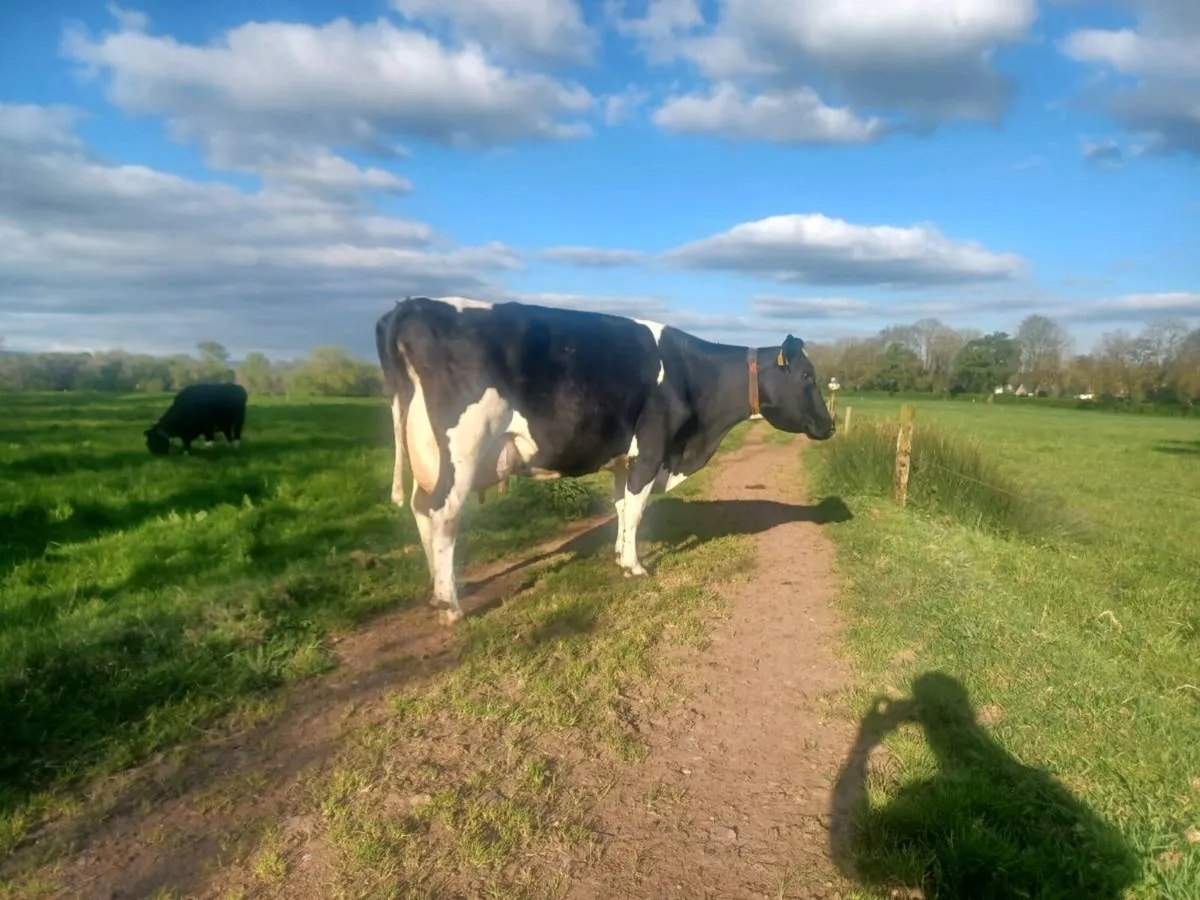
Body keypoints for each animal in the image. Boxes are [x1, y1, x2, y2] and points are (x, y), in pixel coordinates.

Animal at [375, 296, 835, 624]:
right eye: (807, 376)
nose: (830, 426)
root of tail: (412, 305)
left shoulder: (624, 459)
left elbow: (620, 507)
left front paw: (619, 555)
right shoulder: (651, 449)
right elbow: (637, 509)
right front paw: (635, 566)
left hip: (426, 451)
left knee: (421, 509)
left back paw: (437, 590)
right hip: (462, 447)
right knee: (445, 513)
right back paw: (450, 604)